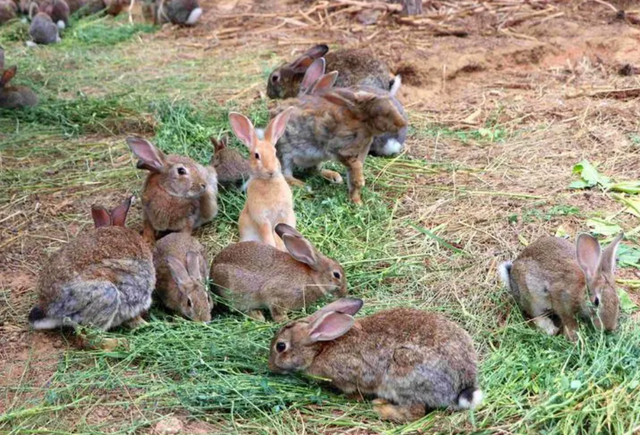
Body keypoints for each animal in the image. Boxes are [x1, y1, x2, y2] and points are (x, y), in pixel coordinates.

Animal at [211, 225, 348, 324]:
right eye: (336, 275)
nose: (344, 292)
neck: (312, 279)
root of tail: (212, 270)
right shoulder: (277, 295)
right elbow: (277, 311)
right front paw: (286, 321)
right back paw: (258, 316)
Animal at [230, 108, 298, 252]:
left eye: (275, 152)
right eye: (257, 156)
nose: (271, 171)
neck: (268, 181)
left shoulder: (282, 215)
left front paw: (280, 247)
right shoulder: (262, 218)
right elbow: (267, 234)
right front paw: (273, 247)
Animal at [268, 300, 482, 422]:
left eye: (281, 346)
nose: (270, 366)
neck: (319, 348)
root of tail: (462, 387)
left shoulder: (351, 375)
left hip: (403, 376)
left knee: (415, 412)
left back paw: (381, 408)